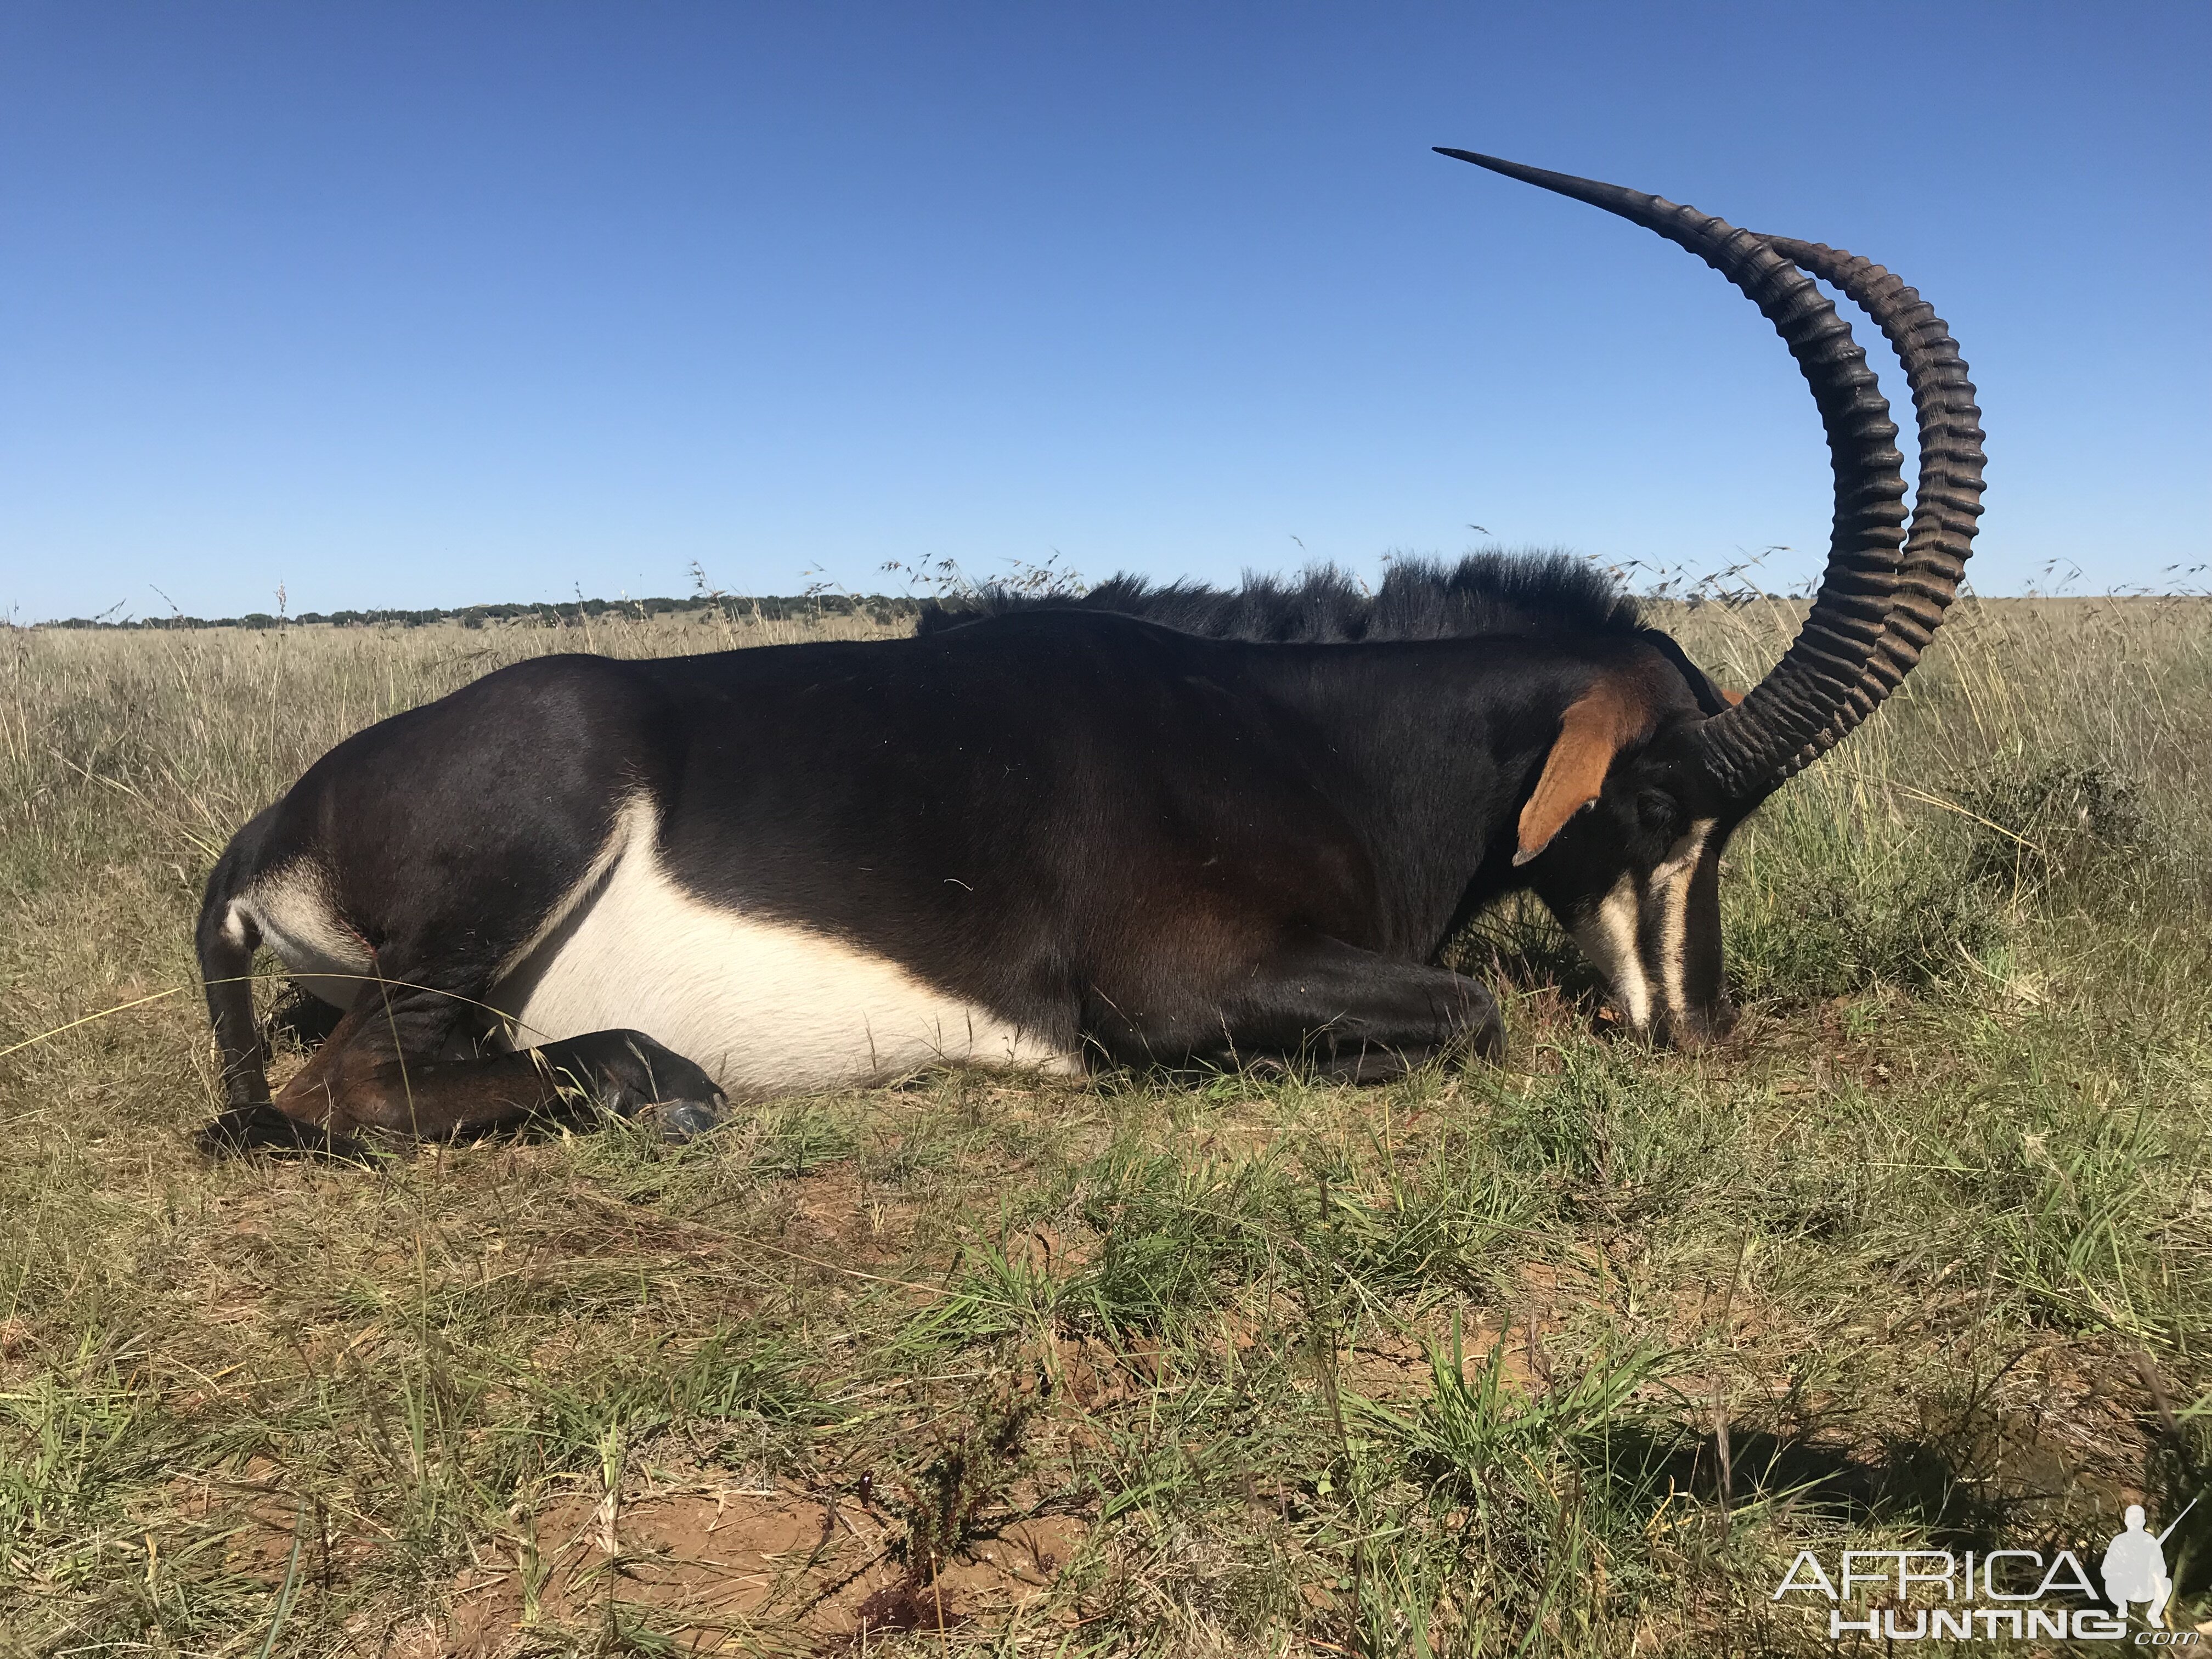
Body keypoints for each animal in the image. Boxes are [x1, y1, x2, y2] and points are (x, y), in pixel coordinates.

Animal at [194, 153, 1990, 1159]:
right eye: (1662, 802)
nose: (1702, 1030)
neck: (1315, 737)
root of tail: (273, 823)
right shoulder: (1176, 980)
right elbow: (1473, 1011)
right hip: (536, 823)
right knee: (348, 1093)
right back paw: (661, 1083)